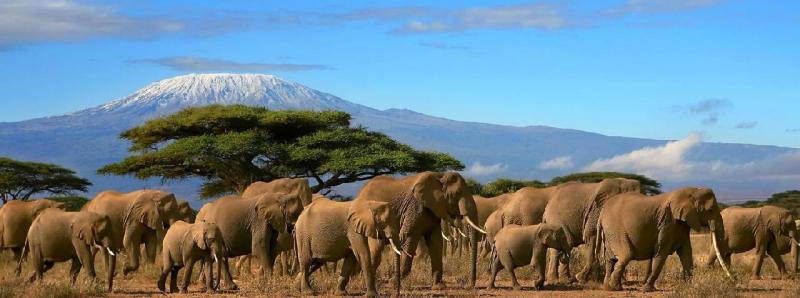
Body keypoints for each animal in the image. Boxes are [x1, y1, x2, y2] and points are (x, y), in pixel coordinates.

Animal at [354, 171, 482, 290]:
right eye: (458, 192)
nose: (470, 286)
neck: (439, 175)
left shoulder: (432, 209)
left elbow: (436, 242)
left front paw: (438, 287)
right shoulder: (415, 207)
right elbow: (410, 239)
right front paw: (393, 284)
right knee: (376, 249)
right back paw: (365, 283)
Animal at [592, 187, 732, 292]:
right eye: (710, 210)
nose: (733, 280)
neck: (691, 191)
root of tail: (602, 213)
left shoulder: (681, 224)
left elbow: (686, 252)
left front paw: (690, 286)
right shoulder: (667, 222)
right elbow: (661, 253)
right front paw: (648, 290)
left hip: (610, 232)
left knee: (610, 259)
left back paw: (608, 287)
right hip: (615, 229)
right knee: (626, 255)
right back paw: (614, 288)